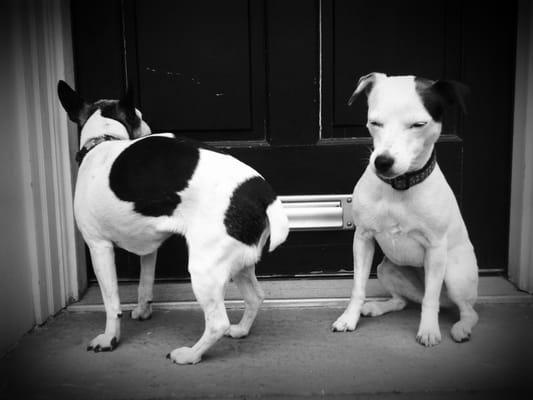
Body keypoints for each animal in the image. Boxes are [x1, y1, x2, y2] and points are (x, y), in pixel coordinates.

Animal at [58, 79, 288, 364]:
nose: (148, 126)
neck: (104, 141)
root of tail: (262, 193)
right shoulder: (149, 248)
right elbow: (145, 283)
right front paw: (143, 310)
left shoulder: (98, 247)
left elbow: (111, 303)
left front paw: (110, 338)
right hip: (239, 263)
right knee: (255, 297)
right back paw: (241, 330)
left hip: (204, 269)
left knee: (217, 323)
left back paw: (190, 354)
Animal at [332, 73, 478, 346]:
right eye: (375, 122)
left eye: (418, 124)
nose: (383, 161)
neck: (399, 187)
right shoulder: (363, 239)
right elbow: (358, 287)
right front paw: (349, 318)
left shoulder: (436, 249)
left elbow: (431, 300)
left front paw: (429, 330)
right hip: (385, 268)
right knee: (402, 302)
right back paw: (377, 307)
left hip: (454, 275)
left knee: (463, 309)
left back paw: (461, 328)